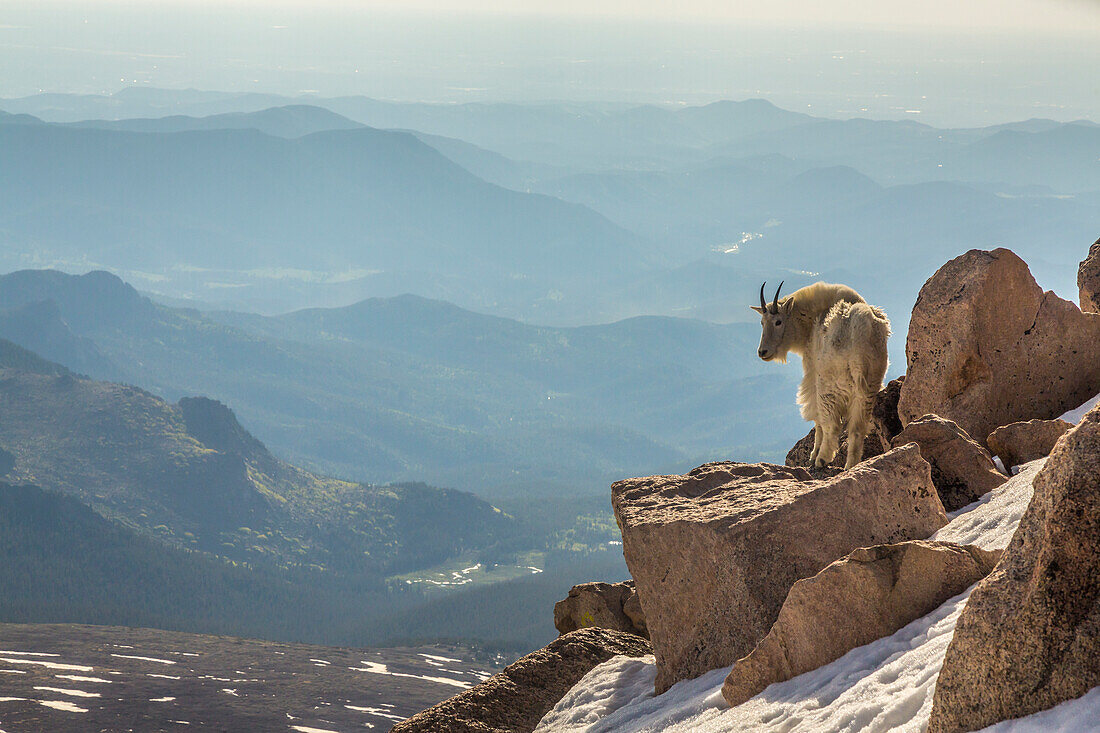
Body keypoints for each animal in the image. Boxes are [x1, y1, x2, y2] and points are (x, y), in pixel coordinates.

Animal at [752, 279, 888, 468]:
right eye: (762, 322)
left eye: (778, 321)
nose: (762, 352)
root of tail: (860, 332)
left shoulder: (812, 372)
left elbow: (817, 418)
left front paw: (813, 454)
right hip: (869, 384)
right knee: (857, 428)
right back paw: (850, 465)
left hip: (830, 383)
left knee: (832, 424)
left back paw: (822, 458)